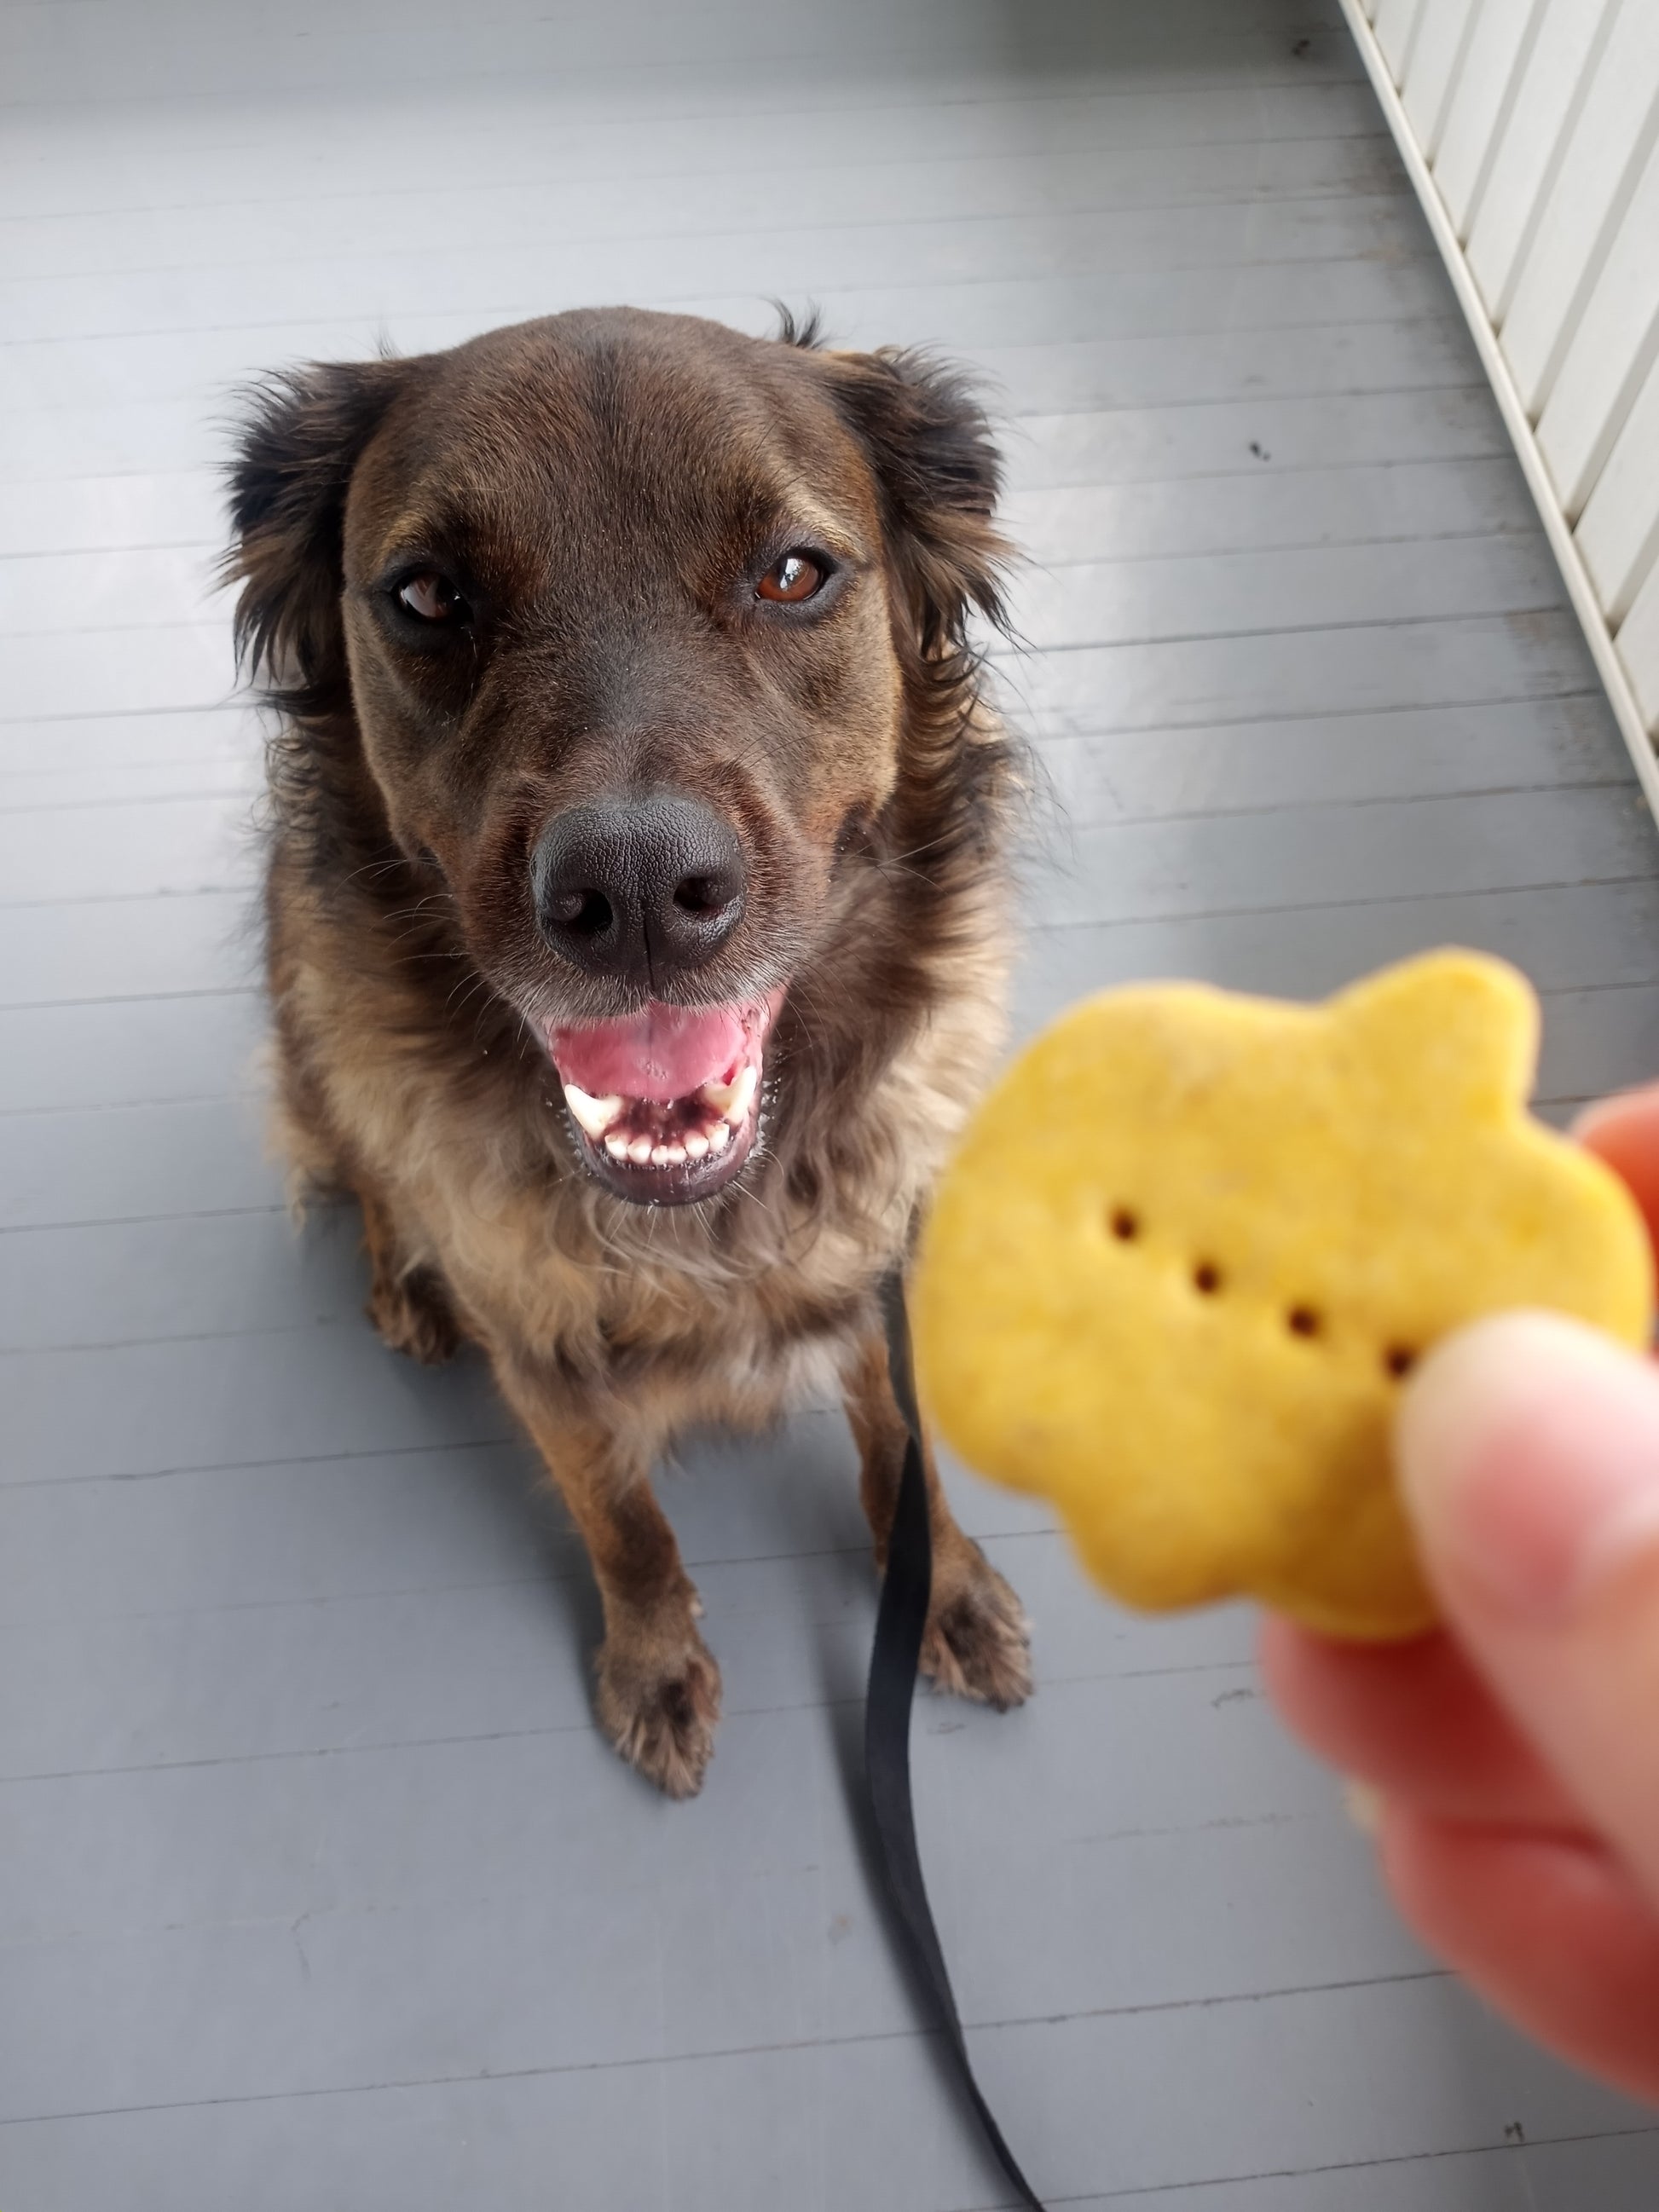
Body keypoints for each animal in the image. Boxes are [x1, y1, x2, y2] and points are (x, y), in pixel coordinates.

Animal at [228, 311, 1035, 1796]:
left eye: (792, 572)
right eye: (429, 595)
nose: (642, 892)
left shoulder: (885, 1271)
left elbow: (906, 1453)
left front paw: (941, 1590)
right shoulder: (543, 1360)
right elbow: (624, 1522)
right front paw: (655, 1661)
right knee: (362, 1168)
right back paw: (404, 1279)